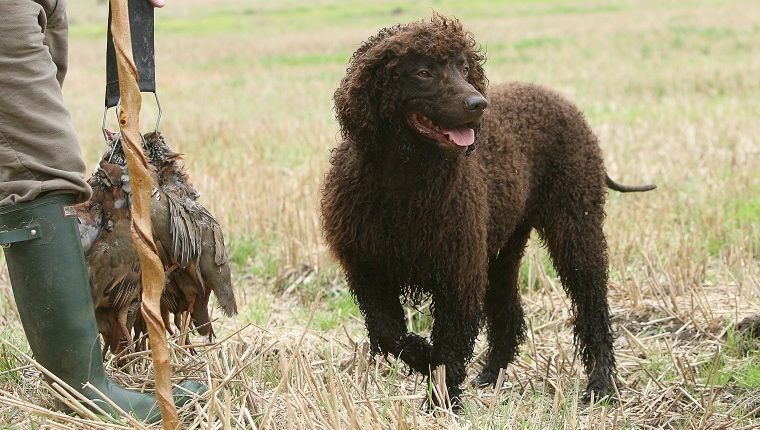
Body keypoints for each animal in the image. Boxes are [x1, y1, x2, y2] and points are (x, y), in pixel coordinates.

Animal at [320, 11, 652, 404]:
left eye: (464, 68)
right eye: (423, 72)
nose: (478, 105)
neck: (403, 180)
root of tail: (562, 101)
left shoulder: (459, 271)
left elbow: (449, 344)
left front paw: (443, 400)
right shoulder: (369, 269)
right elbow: (391, 335)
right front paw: (425, 360)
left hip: (576, 225)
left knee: (593, 308)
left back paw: (601, 384)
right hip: (501, 249)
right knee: (509, 317)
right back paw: (492, 375)